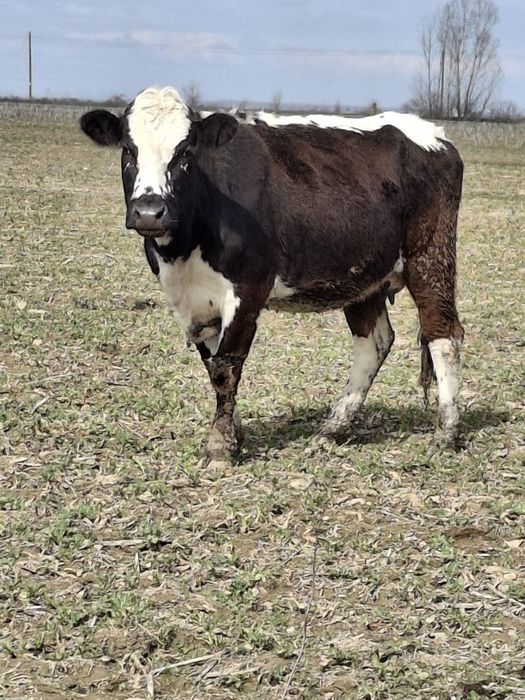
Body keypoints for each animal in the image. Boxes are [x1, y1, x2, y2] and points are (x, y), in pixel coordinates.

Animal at [80, 86, 464, 466]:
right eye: (128, 150)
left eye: (185, 152)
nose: (149, 212)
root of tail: (436, 136)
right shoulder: (192, 303)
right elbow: (213, 366)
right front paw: (233, 436)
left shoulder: (248, 290)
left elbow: (226, 367)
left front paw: (219, 447)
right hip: (363, 276)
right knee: (374, 342)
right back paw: (333, 429)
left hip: (430, 257)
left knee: (442, 335)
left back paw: (446, 432)